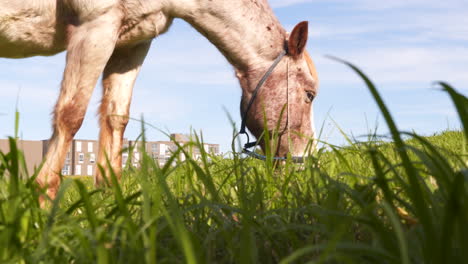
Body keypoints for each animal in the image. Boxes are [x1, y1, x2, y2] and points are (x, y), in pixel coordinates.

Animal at [0, 0, 318, 198]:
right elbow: (71, 115)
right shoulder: (95, 28)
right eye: (309, 94)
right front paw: (43, 197)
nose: (302, 163)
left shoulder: (130, 45)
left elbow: (115, 120)